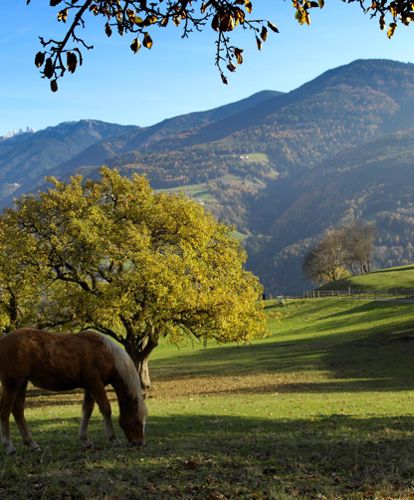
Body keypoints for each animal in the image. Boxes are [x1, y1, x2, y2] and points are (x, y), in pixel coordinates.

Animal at [0, 328, 147, 454]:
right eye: (137, 421)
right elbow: (106, 409)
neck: (106, 353)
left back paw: (32, 444)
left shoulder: (90, 387)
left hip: (22, 383)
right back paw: (9, 446)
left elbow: (87, 410)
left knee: (18, 411)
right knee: (5, 411)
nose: (139, 443)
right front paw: (113, 439)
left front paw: (85, 440)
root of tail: (3, 339)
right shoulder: (96, 384)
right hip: (12, 384)